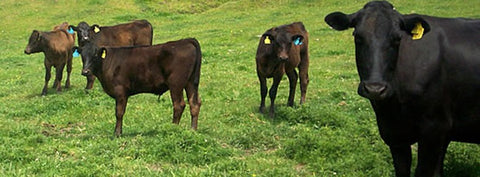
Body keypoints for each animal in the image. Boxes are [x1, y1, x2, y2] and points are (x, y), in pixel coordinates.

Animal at [74, 38, 202, 136]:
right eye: (82, 56)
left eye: (95, 55)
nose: (85, 71)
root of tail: (185, 41)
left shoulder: (120, 91)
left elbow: (119, 112)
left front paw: (117, 133)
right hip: (190, 82)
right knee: (194, 103)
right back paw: (193, 130)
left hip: (176, 83)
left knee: (179, 105)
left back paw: (173, 128)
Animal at [324, 1, 480, 176]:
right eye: (358, 37)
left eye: (397, 39)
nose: (375, 88)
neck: (394, 104)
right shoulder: (394, 134)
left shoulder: (435, 129)